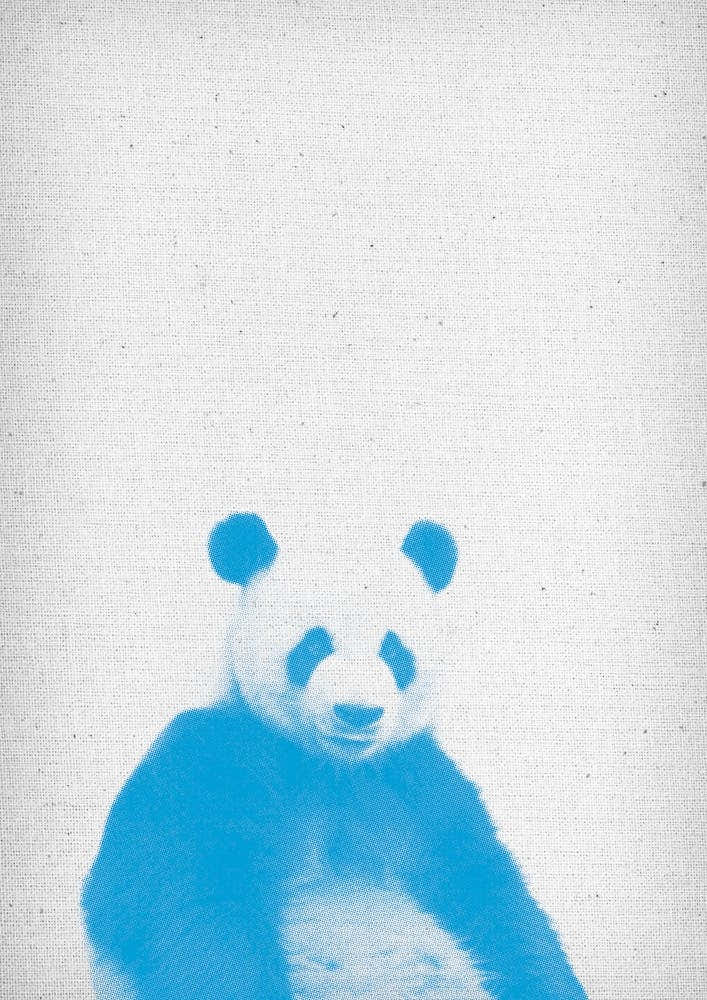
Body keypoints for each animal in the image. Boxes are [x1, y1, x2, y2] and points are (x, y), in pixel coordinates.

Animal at [82, 512, 587, 1000]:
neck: (333, 771)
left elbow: (489, 891)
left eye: (393, 650)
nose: (358, 711)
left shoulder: (419, 787)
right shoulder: (208, 762)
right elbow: (183, 894)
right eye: (313, 645)